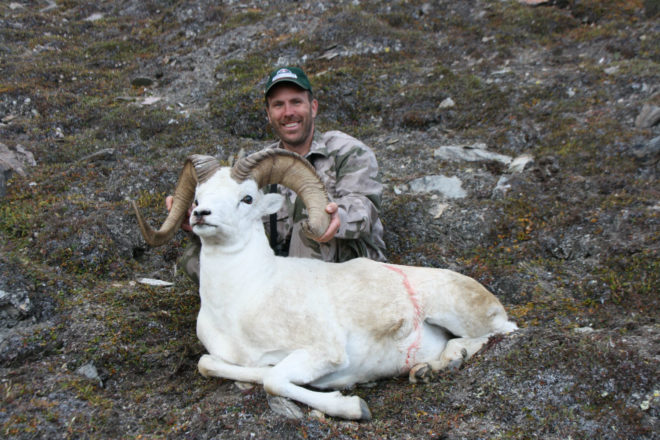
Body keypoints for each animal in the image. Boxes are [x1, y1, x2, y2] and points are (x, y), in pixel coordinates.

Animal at [131, 150, 520, 422]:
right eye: (198, 197)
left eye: (247, 198)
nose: (201, 215)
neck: (243, 301)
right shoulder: (227, 358)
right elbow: (210, 365)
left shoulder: (323, 352)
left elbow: (274, 380)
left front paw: (353, 406)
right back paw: (424, 370)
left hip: (464, 316)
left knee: (501, 332)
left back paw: (451, 361)